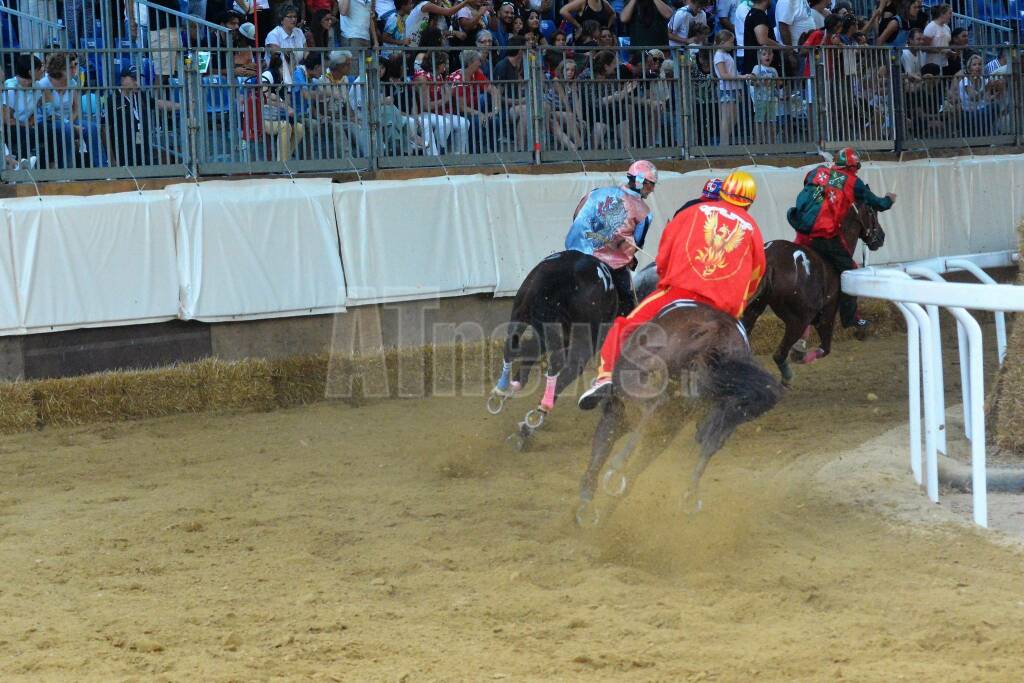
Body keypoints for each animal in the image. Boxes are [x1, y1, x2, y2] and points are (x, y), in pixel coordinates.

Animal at [573, 301, 778, 528]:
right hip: (714, 411)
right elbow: (633, 470)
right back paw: (691, 493)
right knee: (711, 440)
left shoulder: (617, 411)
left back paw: (618, 465)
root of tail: (716, 332)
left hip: (644, 381)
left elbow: (599, 453)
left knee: (654, 404)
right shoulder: (662, 434)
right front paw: (603, 512)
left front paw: (586, 509)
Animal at [741, 200, 884, 387]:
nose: (881, 237)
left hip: (754, 311)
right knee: (779, 354)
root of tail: (771, 260)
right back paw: (787, 376)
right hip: (797, 320)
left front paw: (800, 347)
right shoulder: (826, 313)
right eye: (873, 212)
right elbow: (824, 348)